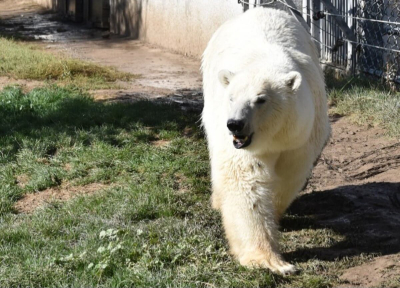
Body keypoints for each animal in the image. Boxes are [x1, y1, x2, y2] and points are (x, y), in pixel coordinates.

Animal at [202, 7, 330, 274]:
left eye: (260, 99)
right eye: (232, 97)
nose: (235, 124)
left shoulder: (301, 136)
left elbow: (289, 175)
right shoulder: (242, 145)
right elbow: (245, 179)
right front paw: (270, 261)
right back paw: (218, 201)